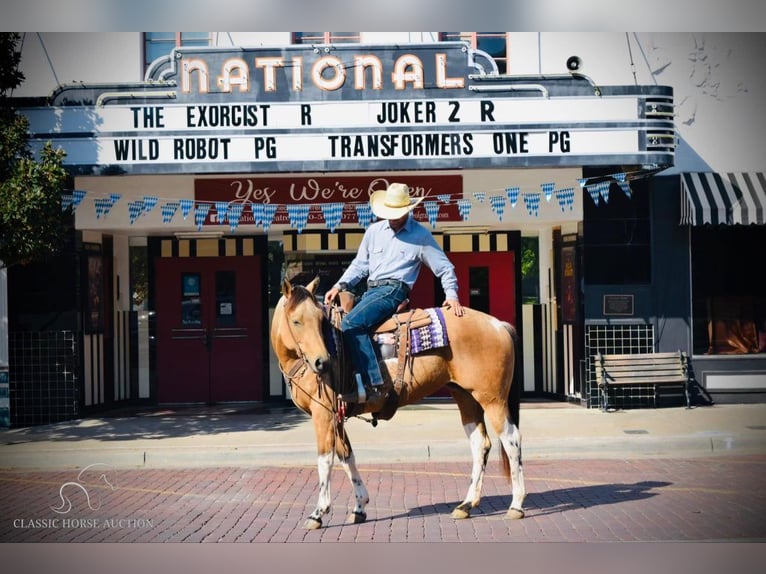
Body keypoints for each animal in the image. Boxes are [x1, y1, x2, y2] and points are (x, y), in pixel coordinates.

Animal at [272, 280, 528, 532]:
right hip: (466, 397)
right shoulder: (336, 416)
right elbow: (347, 457)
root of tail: (498, 325)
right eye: (296, 321)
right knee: (480, 444)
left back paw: (516, 505)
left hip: (493, 400)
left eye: (319, 320)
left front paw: (318, 513)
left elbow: (325, 460)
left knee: (511, 440)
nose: (322, 362)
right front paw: (359, 507)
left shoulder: (323, 414)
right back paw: (465, 505)